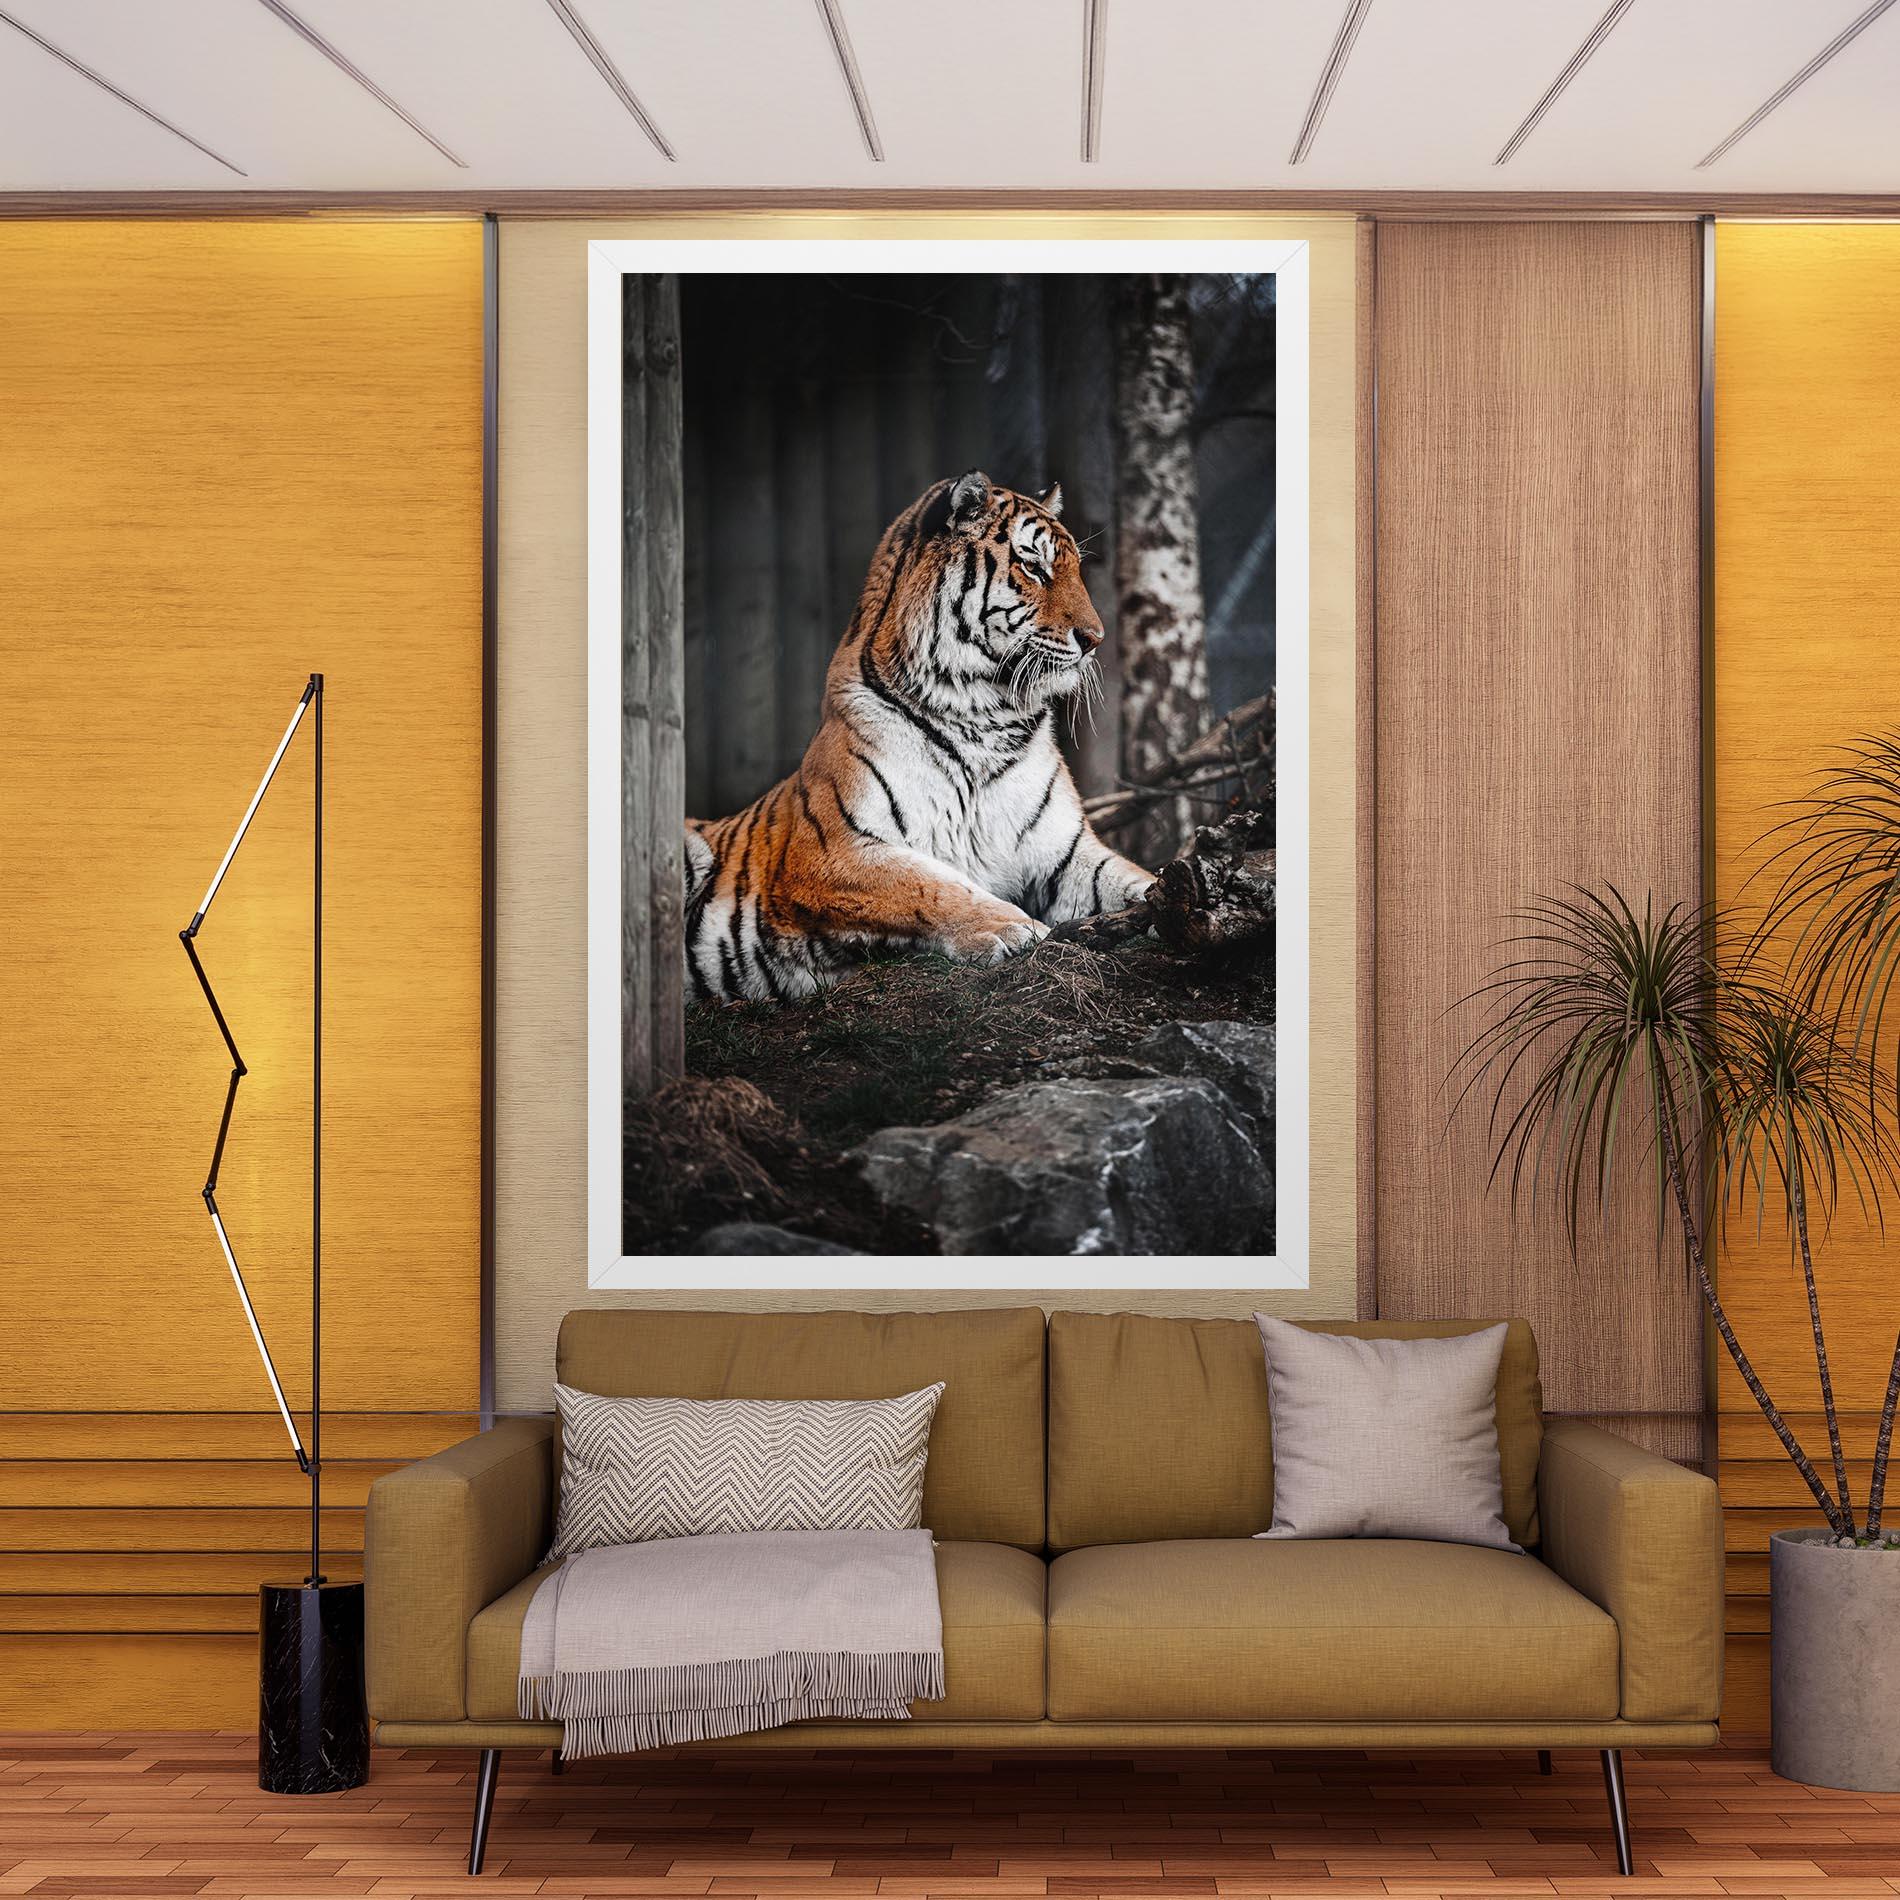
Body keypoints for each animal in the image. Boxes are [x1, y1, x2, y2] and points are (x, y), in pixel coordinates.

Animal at [682, 470, 1154, 1003]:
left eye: (1075, 568)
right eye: (1033, 566)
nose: (1095, 639)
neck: (986, 716)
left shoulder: (1066, 855)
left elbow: (1132, 877)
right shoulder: (830, 851)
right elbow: (930, 886)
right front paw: (1012, 928)